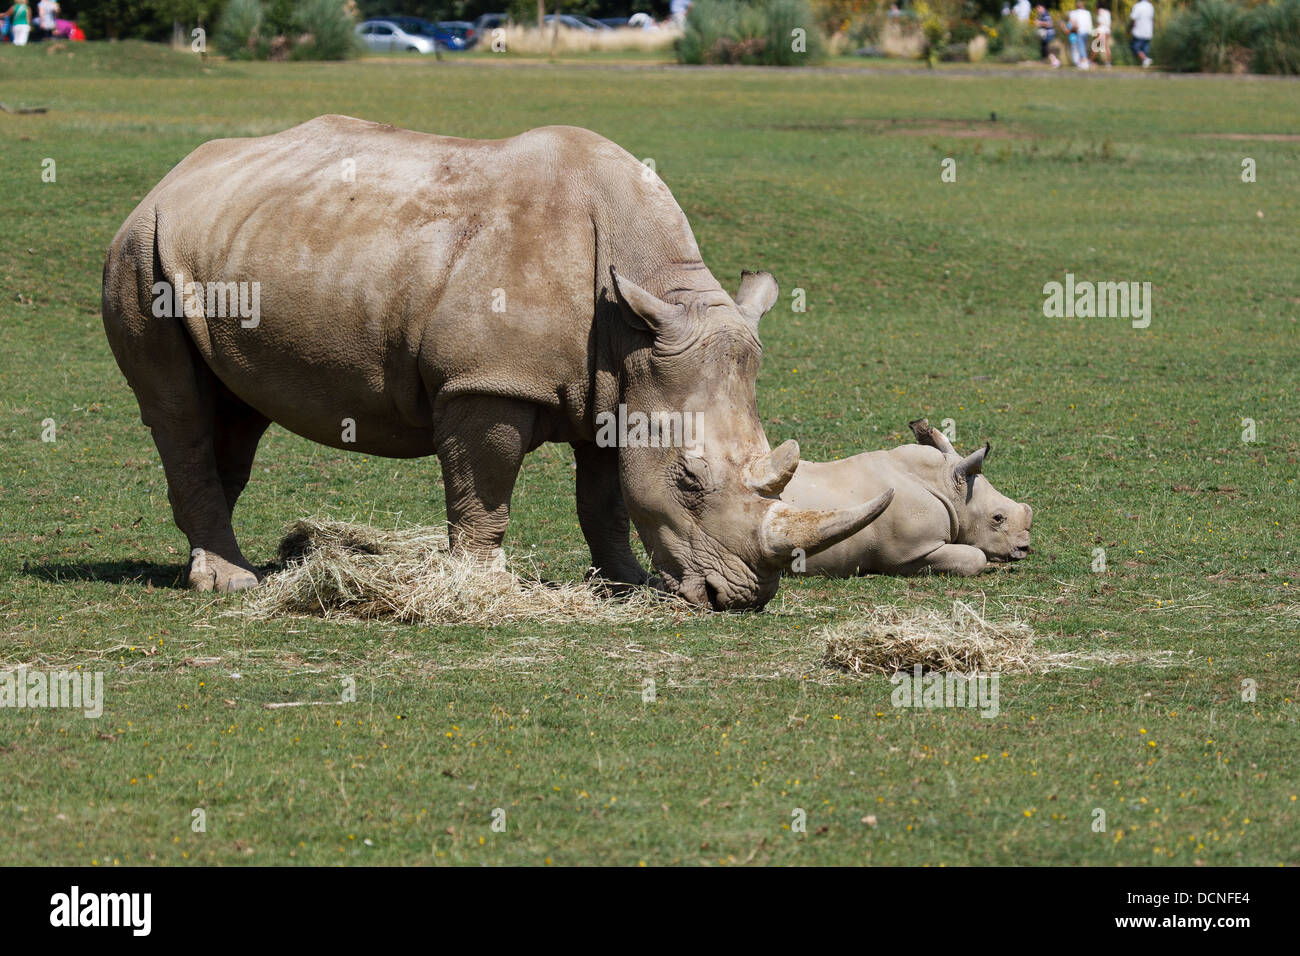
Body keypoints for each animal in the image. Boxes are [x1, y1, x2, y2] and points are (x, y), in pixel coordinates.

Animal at [104, 117, 894, 613]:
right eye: (690, 481)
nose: (741, 599)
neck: (646, 304)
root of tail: (170, 178)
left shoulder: (617, 385)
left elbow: (605, 499)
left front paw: (625, 584)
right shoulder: (487, 382)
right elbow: (483, 493)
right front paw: (481, 588)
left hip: (212, 249)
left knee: (235, 411)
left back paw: (229, 568)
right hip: (140, 251)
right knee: (177, 408)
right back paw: (229, 584)